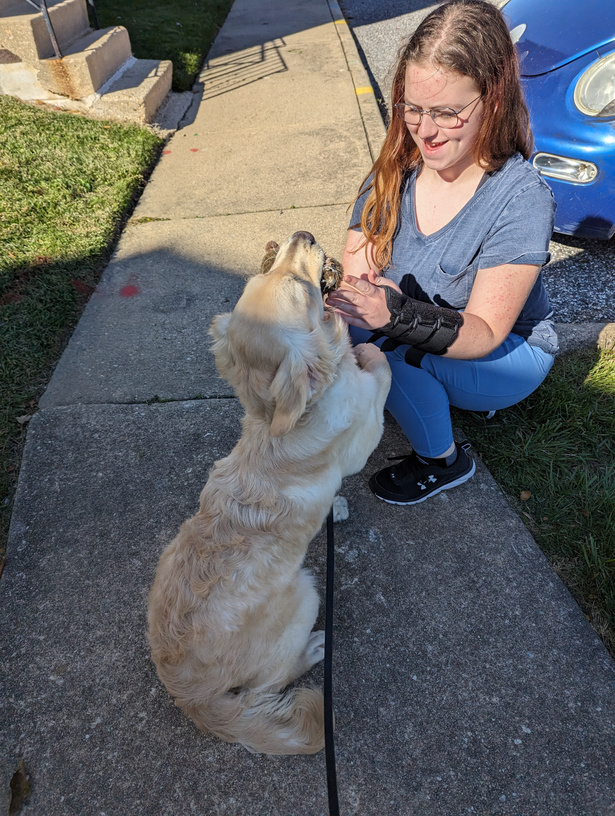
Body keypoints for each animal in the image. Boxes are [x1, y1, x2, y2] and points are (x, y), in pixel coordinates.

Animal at [147, 230, 392, 752]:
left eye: (272, 271)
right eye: (299, 289)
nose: (302, 235)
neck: (277, 416)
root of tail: (190, 696)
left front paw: (337, 506)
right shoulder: (362, 435)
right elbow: (377, 377)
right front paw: (368, 353)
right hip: (307, 593)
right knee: (269, 684)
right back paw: (314, 650)